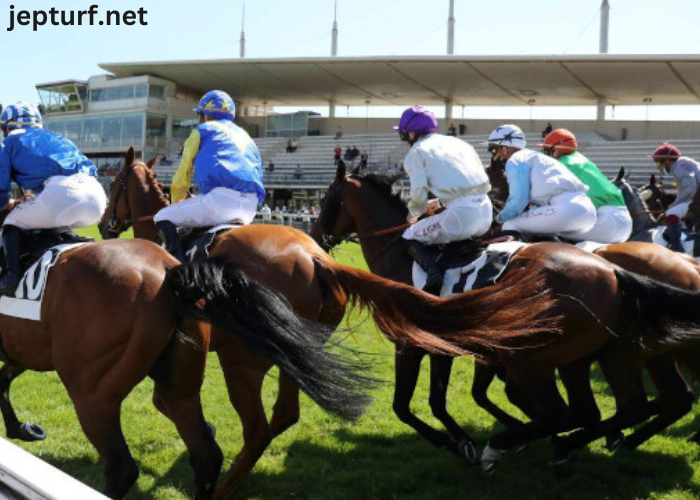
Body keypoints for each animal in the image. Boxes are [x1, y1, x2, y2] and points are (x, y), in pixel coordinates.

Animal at [98, 148, 580, 496]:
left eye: (115, 183)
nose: (104, 225)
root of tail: (317, 259)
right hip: (293, 352)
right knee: (283, 416)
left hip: (247, 356)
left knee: (260, 425)